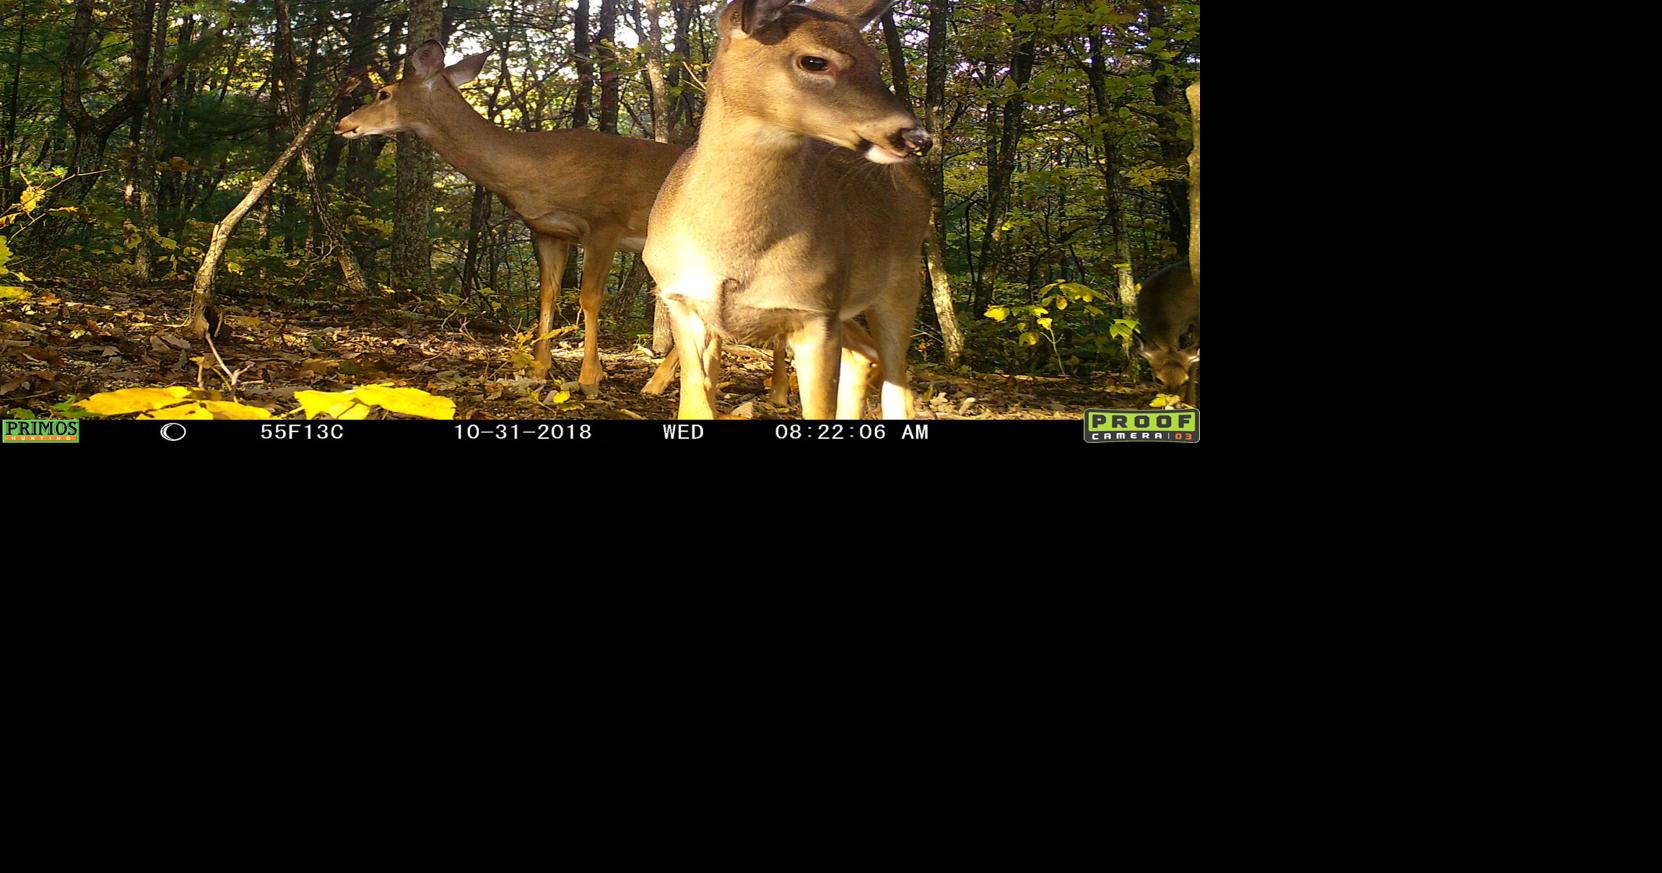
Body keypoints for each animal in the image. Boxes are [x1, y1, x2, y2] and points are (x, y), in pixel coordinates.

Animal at [334, 39, 687, 397]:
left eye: (383, 92)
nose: (342, 123)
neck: (537, 167)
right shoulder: (548, 230)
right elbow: (547, 293)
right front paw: (538, 368)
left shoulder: (605, 223)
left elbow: (589, 298)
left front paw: (589, 377)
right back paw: (658, 382)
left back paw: (655, 383)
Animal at [641, 0, 932, 420]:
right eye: (814, 61)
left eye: (876, 61)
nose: (917, 138)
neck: (733, 254)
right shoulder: (681, 299)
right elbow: (695, 405)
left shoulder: (816, 311)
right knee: (866, 356)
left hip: (901, 281)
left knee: (897, 385)